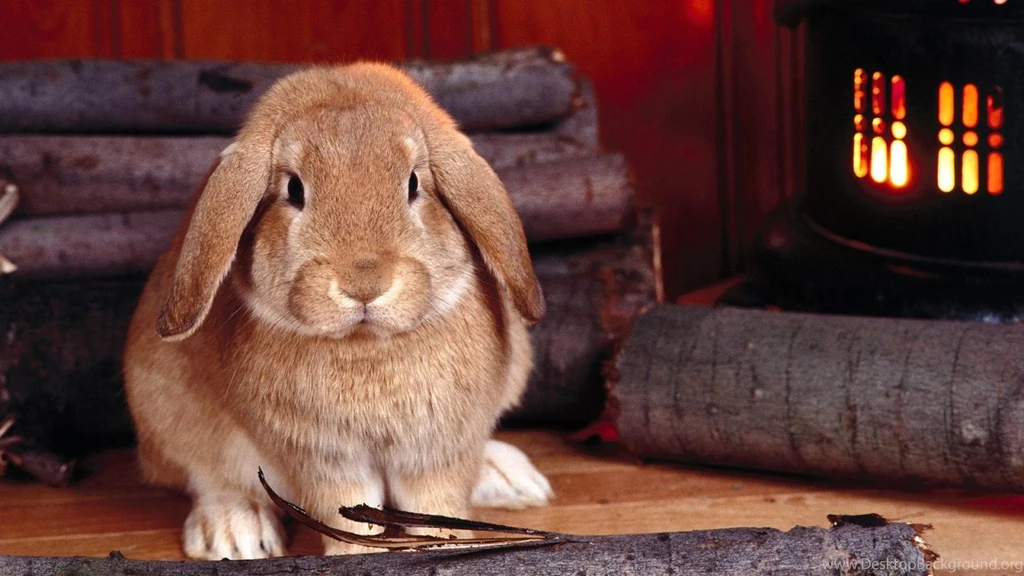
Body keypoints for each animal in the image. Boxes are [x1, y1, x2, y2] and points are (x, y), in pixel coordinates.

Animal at [123, 61, 554, 560]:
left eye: (414, 183)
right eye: (294, 189)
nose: (364, 283)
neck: (367, 345)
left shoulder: (439, 448)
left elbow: (436, 504)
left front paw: (445, 547)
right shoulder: (322, 458)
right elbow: (347, 513)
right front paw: (359, 557)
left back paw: (512, 479)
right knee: (208, 478)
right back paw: (235, 533)